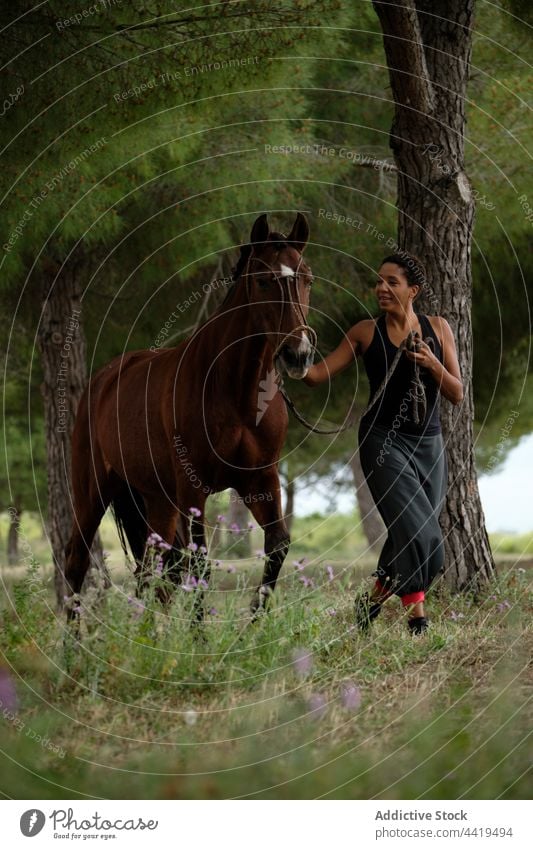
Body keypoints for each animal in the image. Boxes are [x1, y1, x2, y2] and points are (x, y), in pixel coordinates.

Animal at [65, 214, 316, 624]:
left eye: (307, 277)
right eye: (264, 280)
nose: (299, 354)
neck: (235, 390)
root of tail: (104, 379)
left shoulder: (261, 479)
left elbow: (277, 547)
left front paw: (252, 627)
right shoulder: (194, 486)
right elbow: (199, 565)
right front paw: (201, 637)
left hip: (157, 499)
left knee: (152, 569)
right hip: (92, 491)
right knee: (78, 562)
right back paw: (73, 642)